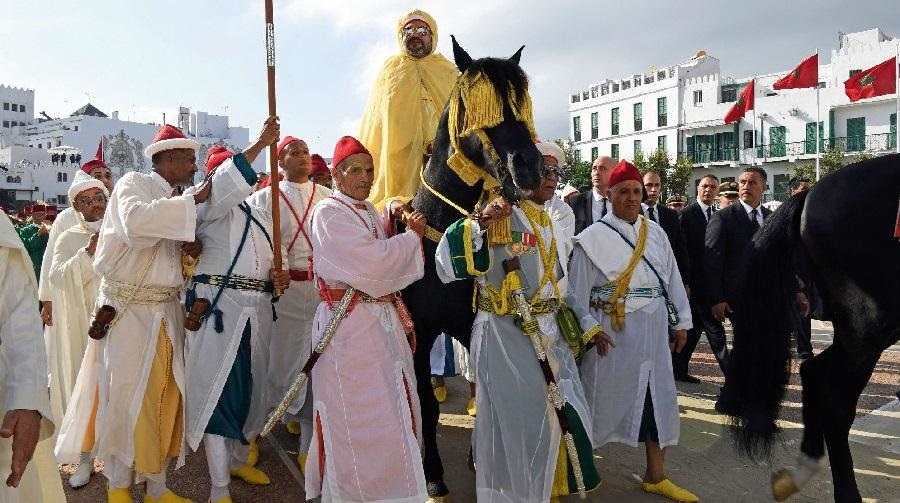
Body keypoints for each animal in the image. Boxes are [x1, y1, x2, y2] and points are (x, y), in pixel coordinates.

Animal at [400, 37, 540, 502]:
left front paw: (482, 456)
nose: (529, 165)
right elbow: (425, 401)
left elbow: (486, 386)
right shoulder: (420, 333)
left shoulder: (471, 321)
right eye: (483, 109)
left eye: (520, 105)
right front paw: (432, 474)